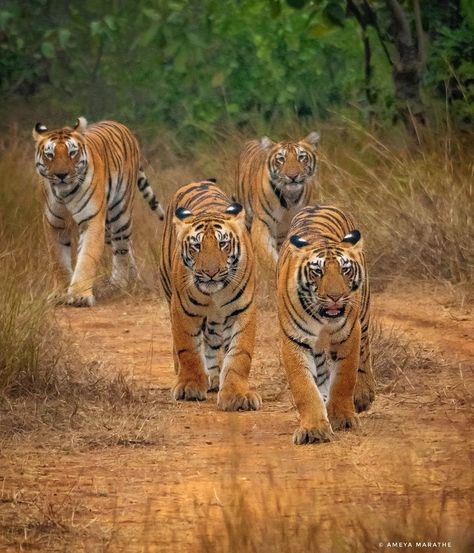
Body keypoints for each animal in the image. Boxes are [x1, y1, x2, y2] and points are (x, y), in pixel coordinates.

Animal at [32, 116, 164, 306]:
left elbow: (86, 257)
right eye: (50, 155)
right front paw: (60, 293)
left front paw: (79, 295)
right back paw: (133, 280)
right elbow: (58, 259)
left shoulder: (92, 219)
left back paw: (118, 284)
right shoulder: (54, 223)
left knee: (121, 248)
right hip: (107, 224)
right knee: (126, 247)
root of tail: (120, 125)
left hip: (120, 213)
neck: (64, 194)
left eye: (72, 153)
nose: (61, 175)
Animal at [159, 179, 262, 412]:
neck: (215, 294)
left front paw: (237, 396)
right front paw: (189, 387)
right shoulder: (183, 310)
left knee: (212, 343)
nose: (211, 272)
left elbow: (239, 355)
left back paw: (214, 378)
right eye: (196, 246)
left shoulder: (243, 311)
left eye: (222, 244)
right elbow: (188, 349)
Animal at [235, 132, 320, 274]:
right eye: (281, 159)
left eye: (301, 157)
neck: (290, 197)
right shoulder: (262, 224)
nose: (293, 176)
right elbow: (268, 258)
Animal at [278, 205, 374, 442]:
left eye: (345, 270)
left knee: (365, 351)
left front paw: (342, 418)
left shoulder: (348, 334)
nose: (336, 297)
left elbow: (344, 379)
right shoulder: (294, 340)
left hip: (364, 314)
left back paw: (363, 395)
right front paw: (314, 429)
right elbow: (304, 387)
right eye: (317, 272)